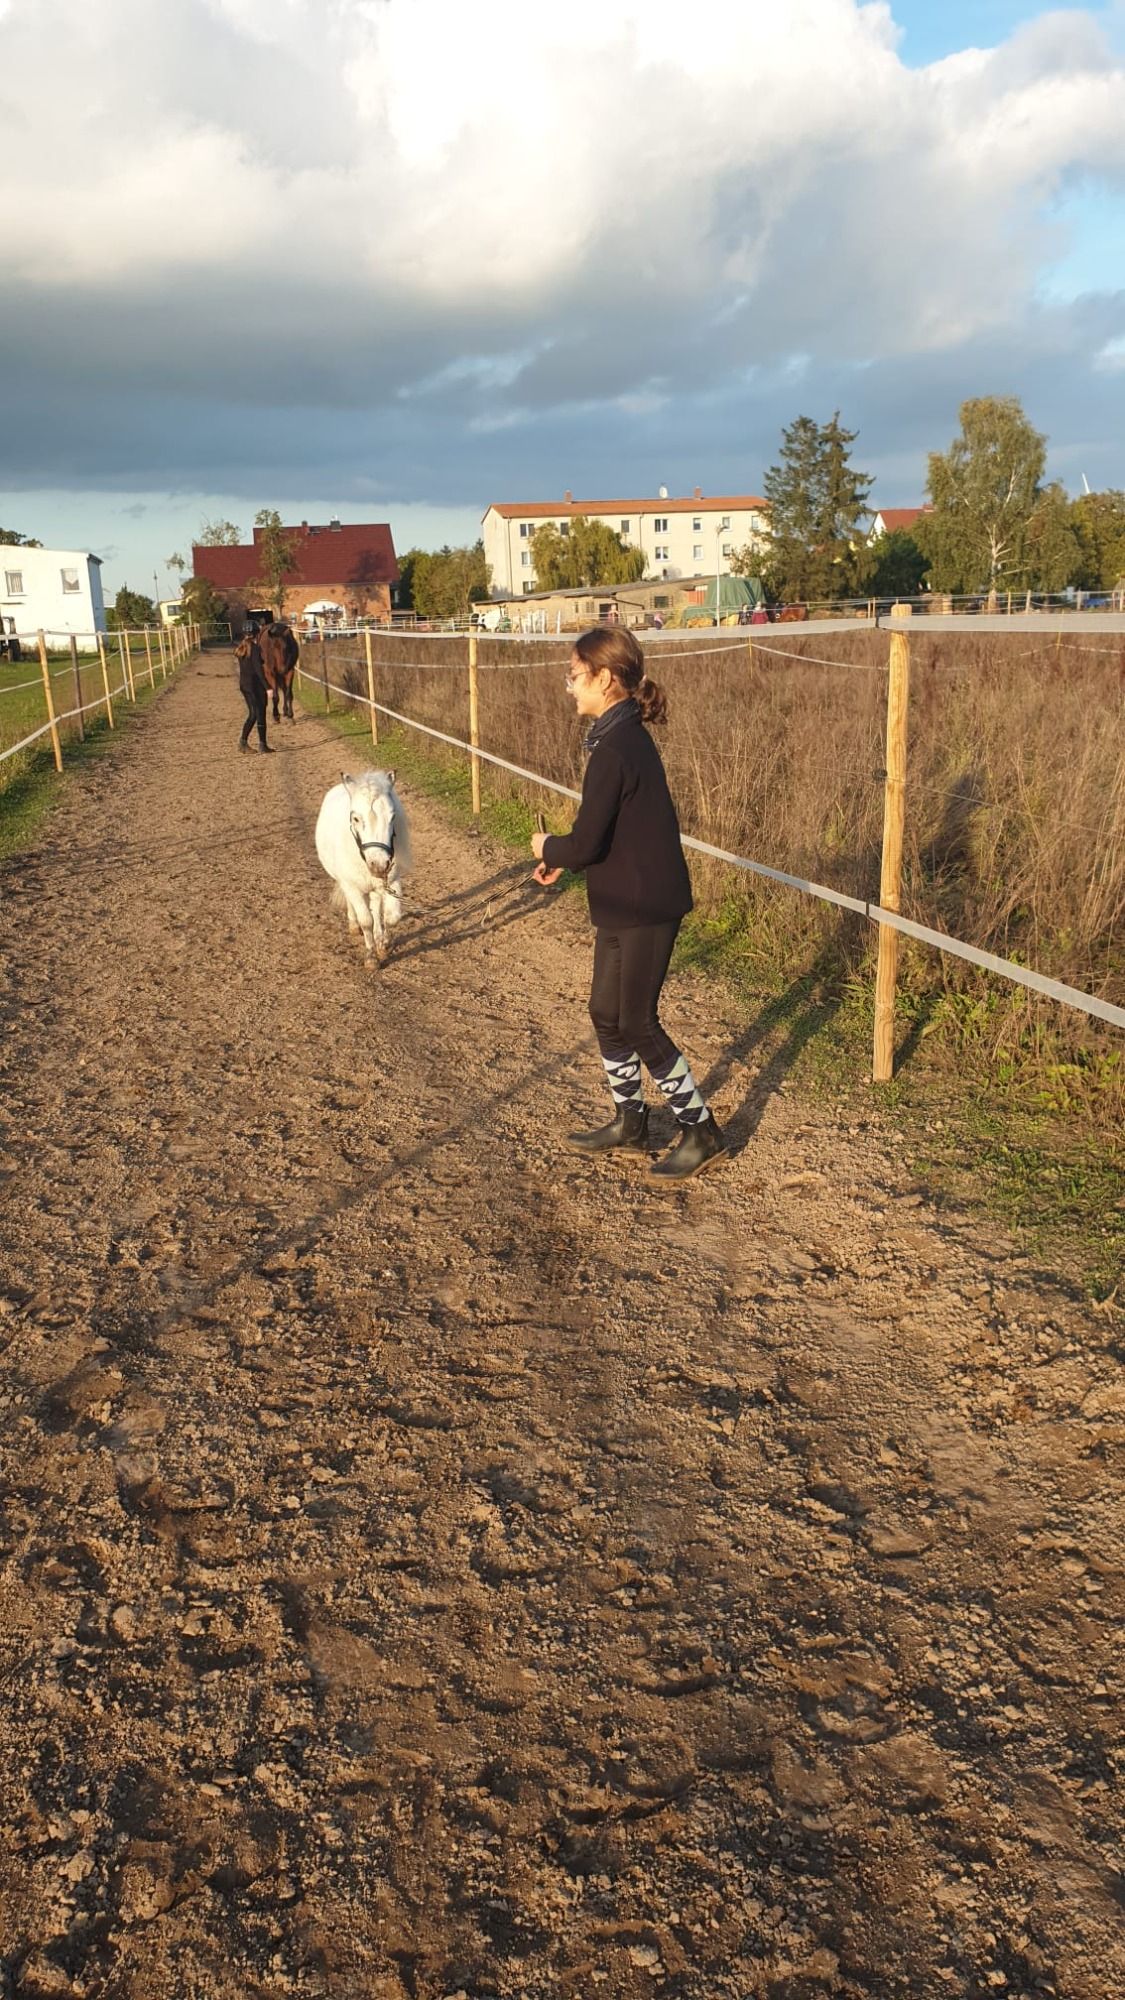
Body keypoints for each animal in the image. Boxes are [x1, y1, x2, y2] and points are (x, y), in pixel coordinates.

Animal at [315, 769, 412, 965]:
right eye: (356, 818)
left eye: (393, 817)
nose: (379, 865)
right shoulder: (352, 886)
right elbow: (366, 920)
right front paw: (371, 958)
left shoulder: (392, 882)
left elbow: (391, 918)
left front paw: (383, 946)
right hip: (346, 883)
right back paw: (354, 925)